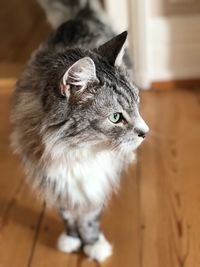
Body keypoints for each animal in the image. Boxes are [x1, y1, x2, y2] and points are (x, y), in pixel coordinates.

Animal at [10, 0, 149, 264]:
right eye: (115, 117)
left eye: (137, 104)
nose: (145, 132)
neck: (76, 149)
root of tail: (81, 15)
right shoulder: (53, 177)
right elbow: (66, 211)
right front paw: (72, 238)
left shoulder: (97, 179)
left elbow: (90, 216)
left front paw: (93, 244)